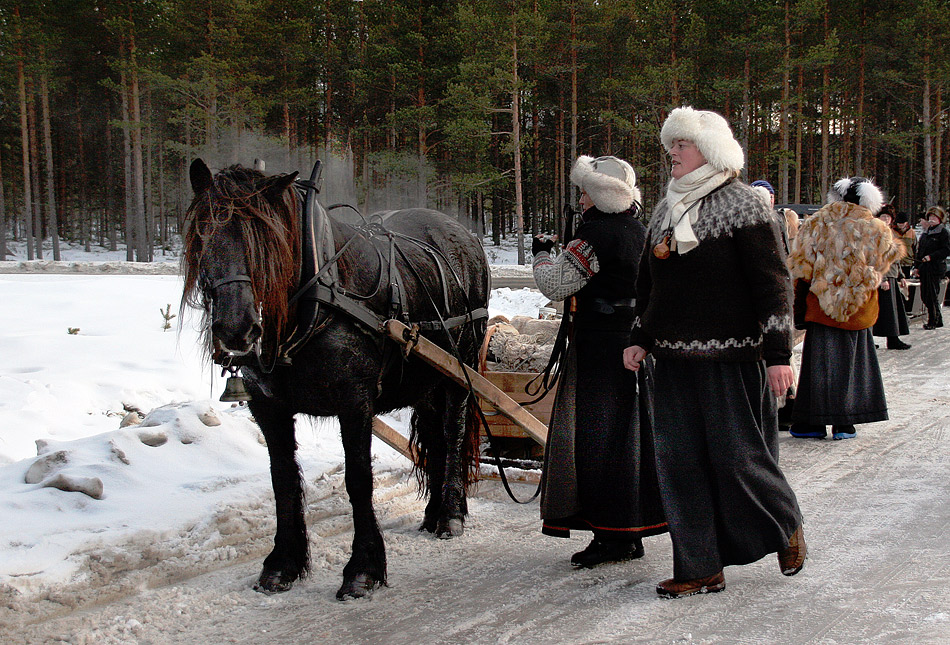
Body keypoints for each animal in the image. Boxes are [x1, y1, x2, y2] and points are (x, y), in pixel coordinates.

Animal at [180, 160, 490, 600]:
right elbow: (283, 481)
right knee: (435, 438)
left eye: (265, 241)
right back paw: (434, 514)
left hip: (459, 372)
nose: (236, 329)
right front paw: (283, 563)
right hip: (424, 378)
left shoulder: (354, 402)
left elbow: (358, 481)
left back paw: (450, 515)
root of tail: (466, 236)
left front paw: (363, 569)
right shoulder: (268, 407)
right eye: (204, 234)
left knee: (454, 435)